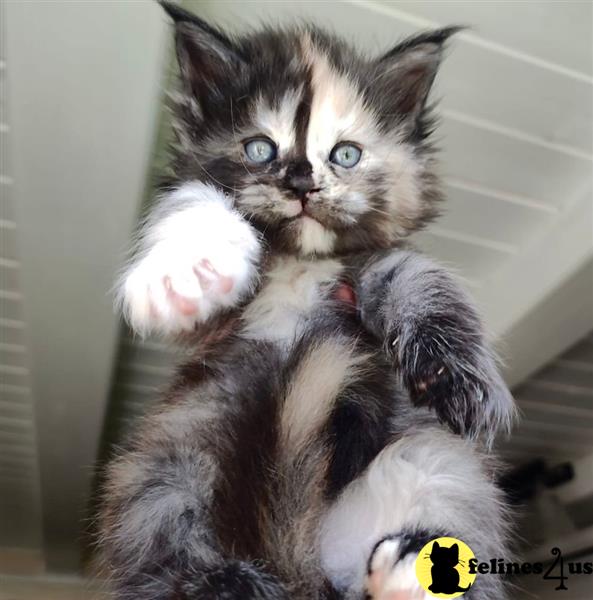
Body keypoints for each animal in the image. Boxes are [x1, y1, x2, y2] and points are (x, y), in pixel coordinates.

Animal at [99, 2, 516, 596]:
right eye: (259, 148)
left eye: (345, 154)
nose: (301, 181)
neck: (301, 261)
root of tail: (309, 574)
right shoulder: (212, 331)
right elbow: (193, 199)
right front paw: (186, 274)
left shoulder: (376, 262)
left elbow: (422, 279)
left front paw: (453, 375)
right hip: (161, 463)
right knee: (160, 539)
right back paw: (229, 584)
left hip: (436, 461)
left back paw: (411, 572)